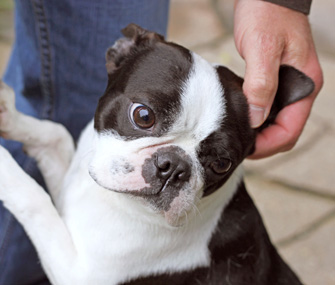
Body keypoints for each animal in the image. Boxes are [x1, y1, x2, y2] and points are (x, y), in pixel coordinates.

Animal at [0, 25, 316, 284]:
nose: (174, 166)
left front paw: (5, 165)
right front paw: (8, 115)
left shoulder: (79, 273)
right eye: (143, 116)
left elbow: (34, 200)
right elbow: (55, 133)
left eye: (221, 163)